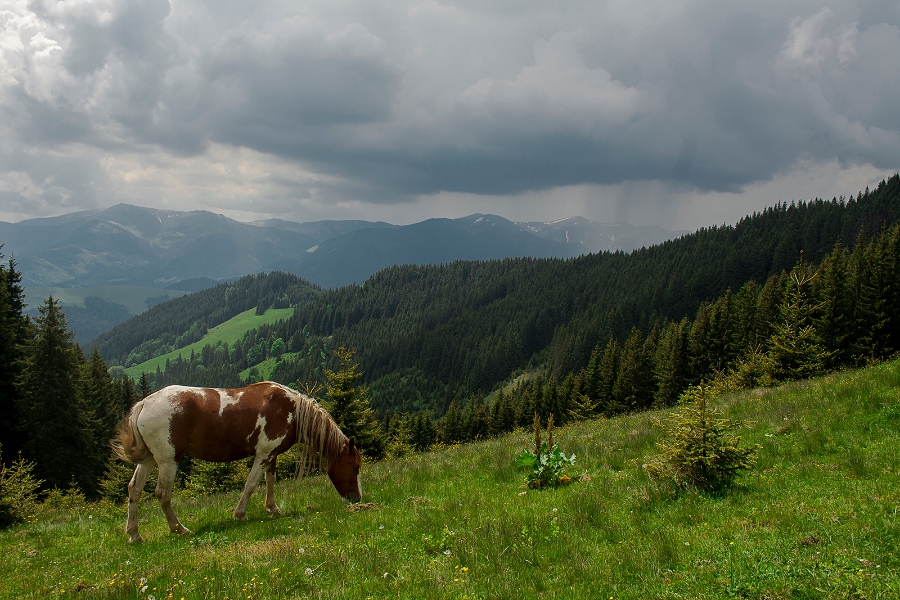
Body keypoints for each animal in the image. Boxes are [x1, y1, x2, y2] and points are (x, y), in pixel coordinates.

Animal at [112, 384, 362, 544]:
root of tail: (144, 403)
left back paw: (134, 534)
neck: (290, 409)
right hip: (168, 460)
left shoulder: (271, 455)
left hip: (148, 460)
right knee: (163, 494)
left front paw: (272, 509)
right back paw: (179, 529)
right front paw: (240, 513)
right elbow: (251, 485)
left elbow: (270, 481)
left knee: (134, 490)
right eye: (355, 467)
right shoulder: (263, 454)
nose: (357, 499)